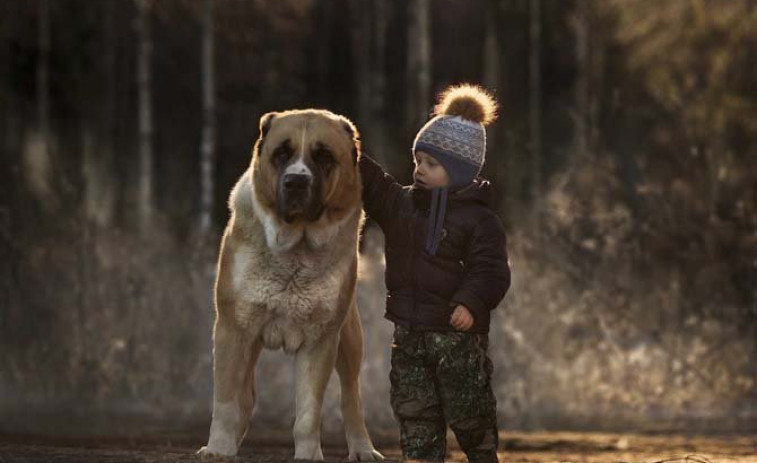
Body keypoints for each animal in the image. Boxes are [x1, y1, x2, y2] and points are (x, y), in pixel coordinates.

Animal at [198, 109, 380, 460]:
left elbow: (309, 412)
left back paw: (363, 448)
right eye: (281, 154)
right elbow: (225, 400)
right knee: (244, 396)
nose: (296, 181)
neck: (295, 251)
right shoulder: (231, 330)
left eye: (323, 156)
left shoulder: (321, 341)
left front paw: (309, 454)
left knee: (351, 398)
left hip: (350, 339)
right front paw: (218, 449)